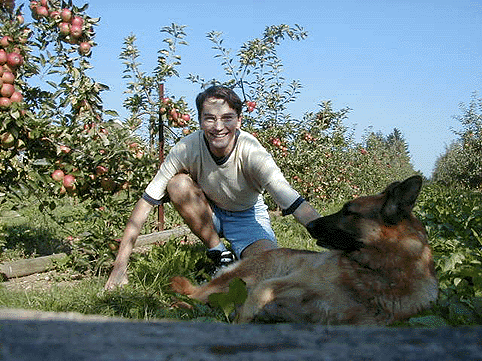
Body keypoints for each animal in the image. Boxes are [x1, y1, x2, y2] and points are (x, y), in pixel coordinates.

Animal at [171, 176, 438, 324]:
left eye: (348, 212)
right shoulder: (284, 282)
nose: (309, 225)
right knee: (190, 295)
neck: (380, 275)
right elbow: (256, 299)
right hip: (238, 282)